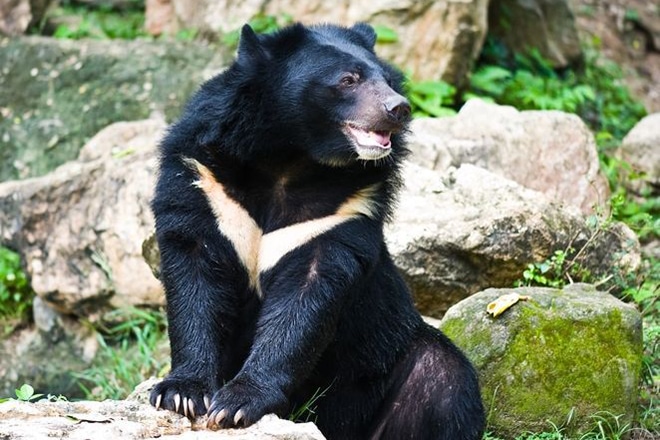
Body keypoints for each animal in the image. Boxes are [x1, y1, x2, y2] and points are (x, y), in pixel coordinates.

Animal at [151, 22, 484, 440]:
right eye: (348, 80)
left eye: (388, 80)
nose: (399, 108)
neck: (290, 158)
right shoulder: (202, 182)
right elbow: (195, 279)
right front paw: (181, 394)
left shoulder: (344, 210)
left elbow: (305, 300)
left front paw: (237, 403)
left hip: (388, 350)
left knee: (444, 383)